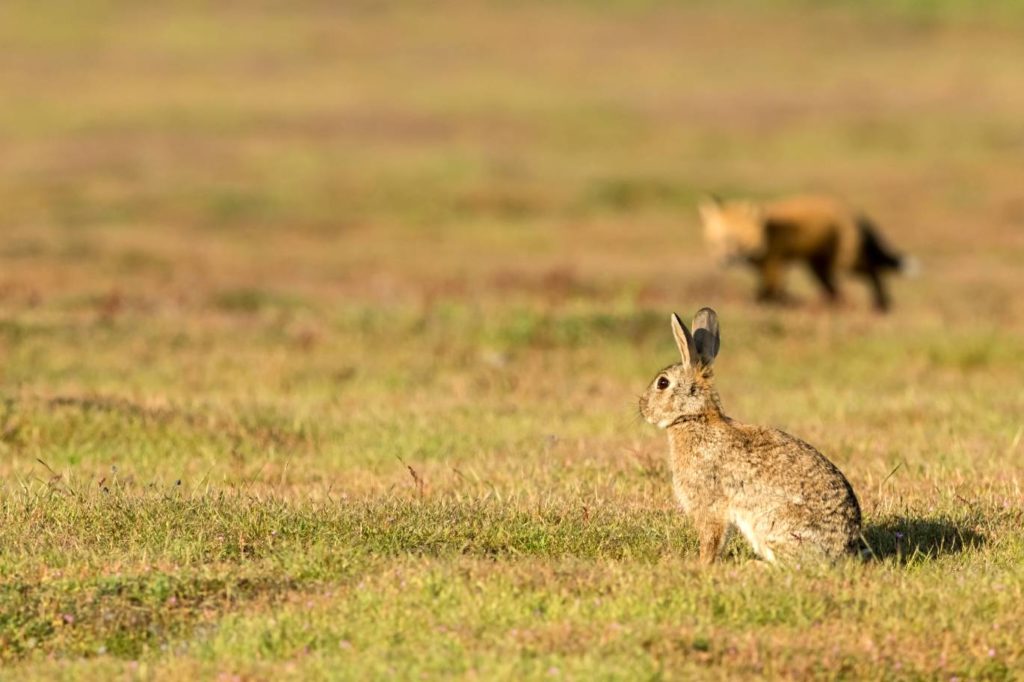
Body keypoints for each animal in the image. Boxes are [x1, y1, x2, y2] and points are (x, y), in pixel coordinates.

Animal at [638, 307, 864, 561]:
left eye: (662, 383)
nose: (642, 408)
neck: (694, 418)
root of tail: (843, 550)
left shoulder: (708, 502)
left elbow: (711, 536)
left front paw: (702, 563)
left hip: (770, 524)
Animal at [700, 193, 917, 311]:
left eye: (735, 240)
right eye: (716, 242)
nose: (724, 260)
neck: (767, 231)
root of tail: (854, 212)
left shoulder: (774, 264)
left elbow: (768, 291)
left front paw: (760, 305)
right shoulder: (768, 267)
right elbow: (771, 292)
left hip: (847, 264)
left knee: (873, 272)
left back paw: (880, 305)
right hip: (820, 270)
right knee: (835, 290)